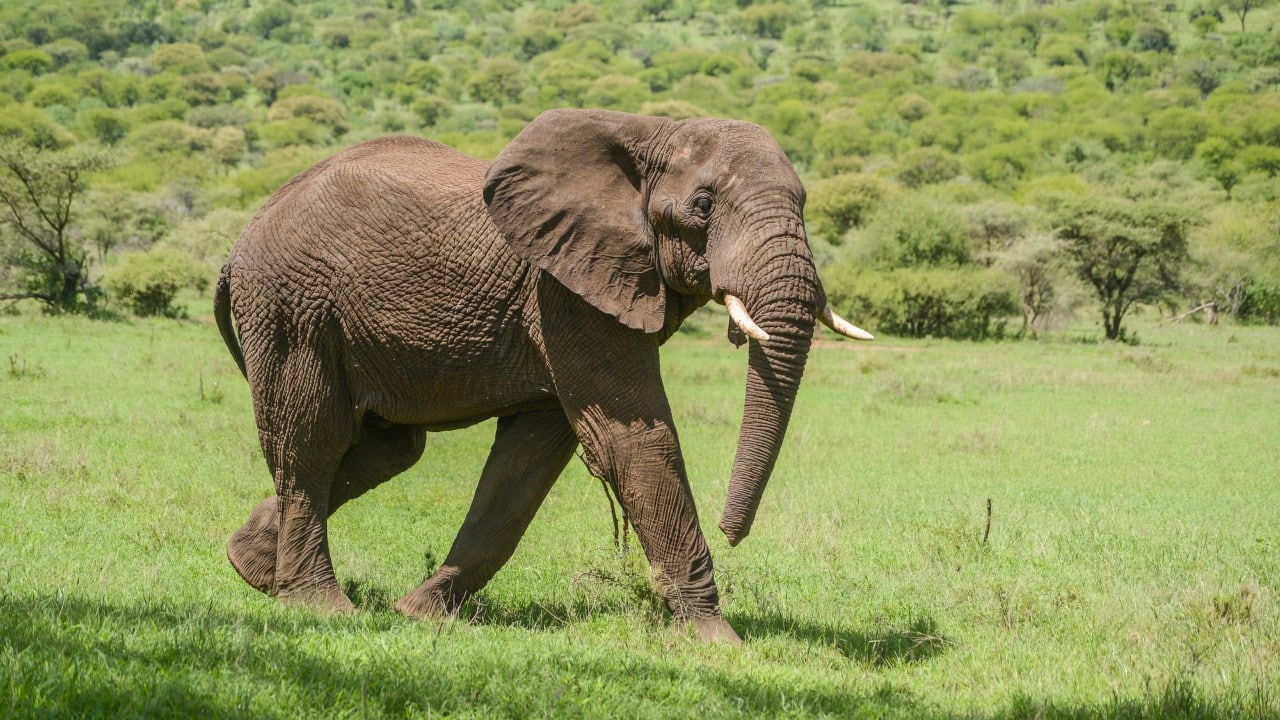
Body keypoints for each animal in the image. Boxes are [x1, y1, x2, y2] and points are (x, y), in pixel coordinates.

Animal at [214, 109, 871, 643]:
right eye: (704, 205)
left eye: (805, 203)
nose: (732, 532)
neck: (652, 134)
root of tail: (239, 242)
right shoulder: (564, 290)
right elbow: (633, 438)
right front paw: (717, 642)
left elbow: (527, 461)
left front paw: (420, 614)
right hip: (292, 309)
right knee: (313, 445)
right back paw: (318, 607)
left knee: (384, 449)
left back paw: (252, 568)